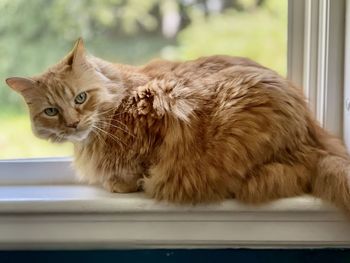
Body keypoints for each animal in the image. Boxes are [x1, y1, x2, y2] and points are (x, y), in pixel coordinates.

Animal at [4, 37, 350, 210]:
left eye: (80, 98)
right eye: (51, 111)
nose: (73, 124)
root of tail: (311, 132)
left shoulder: (159, 111)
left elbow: (141, 164)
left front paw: (125, 183)